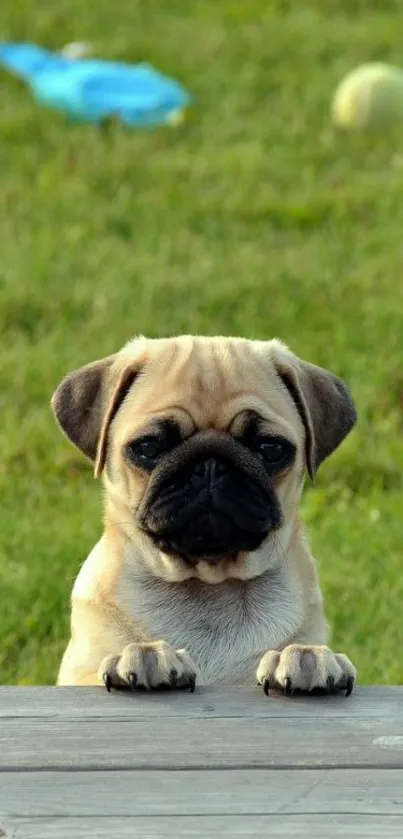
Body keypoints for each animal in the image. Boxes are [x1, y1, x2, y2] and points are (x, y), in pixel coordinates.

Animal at [52, 334, 358, 696]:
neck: (209, 583)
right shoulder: (77, 676)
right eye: (148, 446)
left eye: (270, 449)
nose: (210, 464)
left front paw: (306, 657)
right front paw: (147, 655)